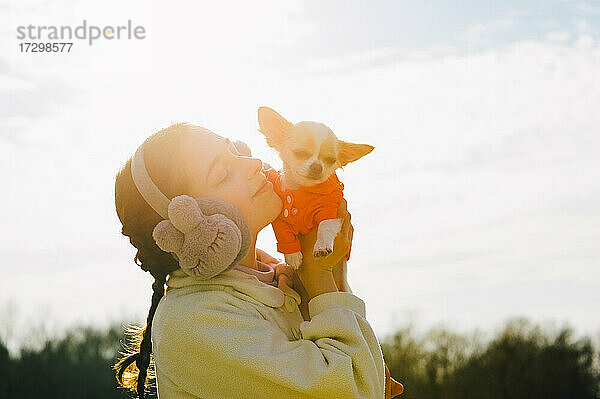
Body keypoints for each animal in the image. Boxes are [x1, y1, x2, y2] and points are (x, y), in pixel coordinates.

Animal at [258, 107, 376, 268]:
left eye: (331, 160)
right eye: (300, 153)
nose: (317, 167)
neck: (302, 190)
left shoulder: (330, 209)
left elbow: (325, 226)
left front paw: (321, 247)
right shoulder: (281, 219)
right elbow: (285, 235)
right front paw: (293, 256)